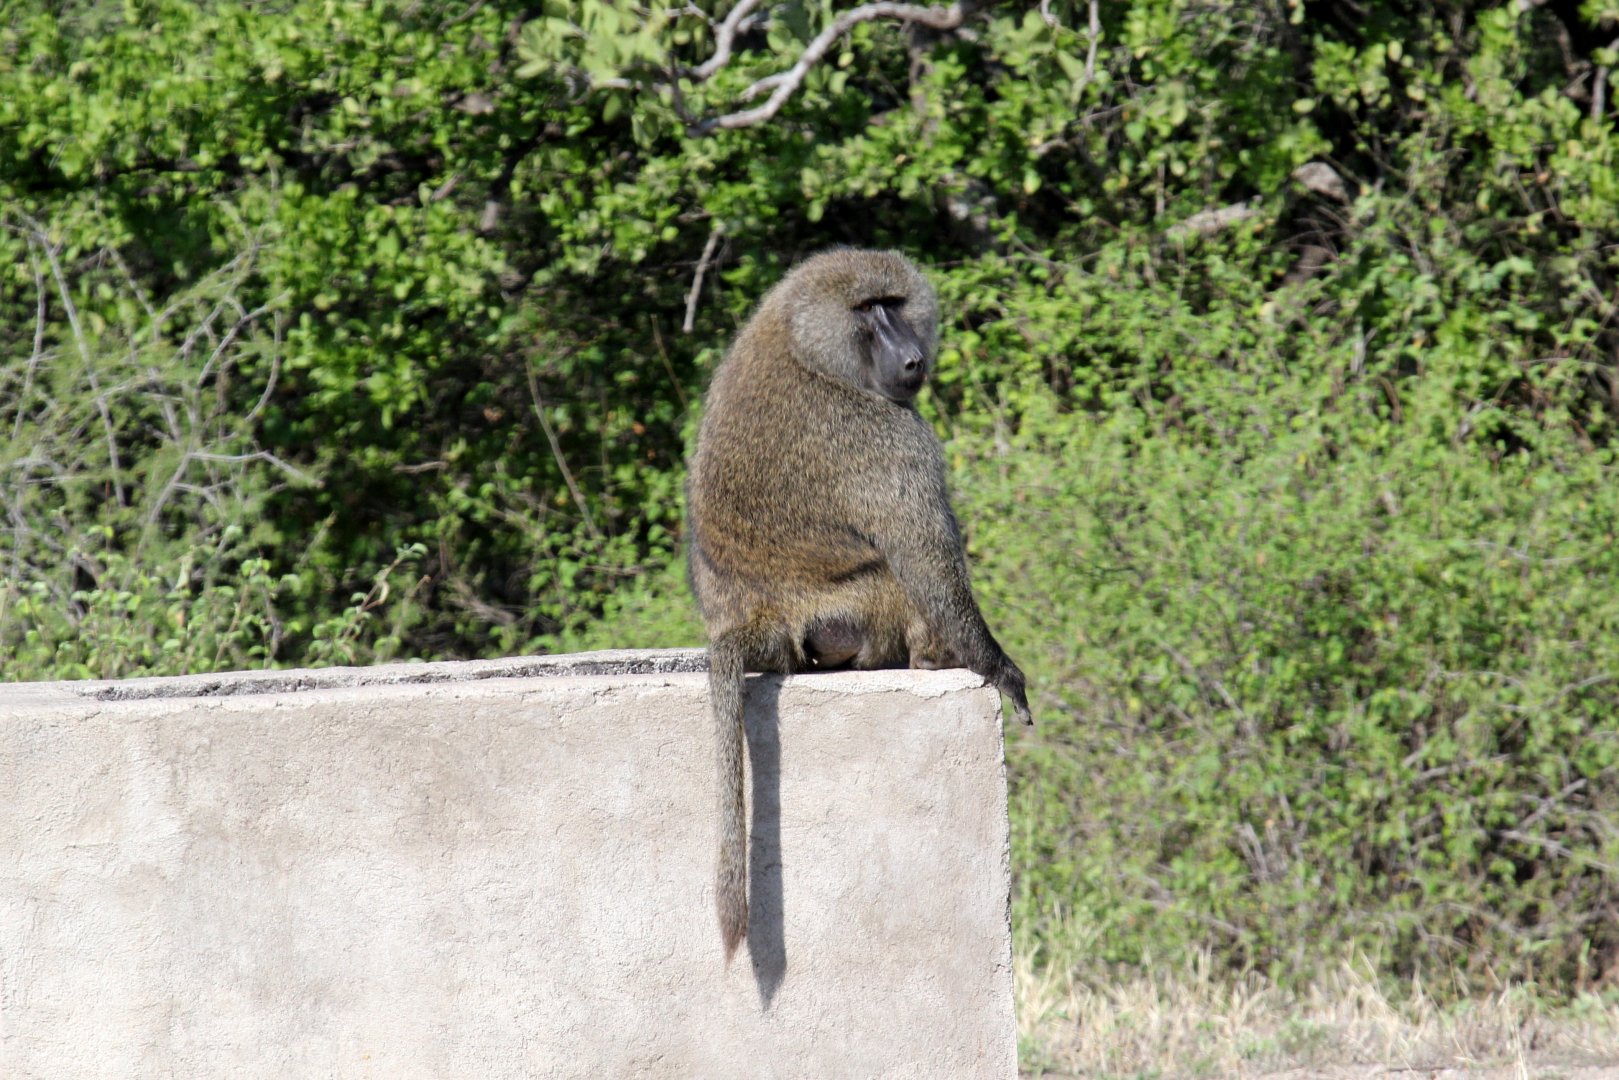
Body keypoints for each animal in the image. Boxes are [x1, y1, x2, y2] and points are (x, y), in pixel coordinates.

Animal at [684, 248, 1033, 964]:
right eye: (867, 312)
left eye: (893, 304)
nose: (912, 360)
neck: (804, 347)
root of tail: (765, 622)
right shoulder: (889, 434)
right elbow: (927, 558)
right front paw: (997, 666)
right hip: (857, 612)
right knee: (903, 578)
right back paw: (931, 656)